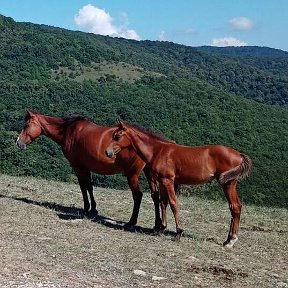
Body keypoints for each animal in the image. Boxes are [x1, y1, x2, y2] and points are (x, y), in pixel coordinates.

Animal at [16, 111, 162, 228]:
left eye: (26, 125)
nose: (18, 142)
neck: (68, 130)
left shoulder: (78, 166)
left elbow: (83, 187)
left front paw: (86, 208)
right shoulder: (86, 167)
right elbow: (90, 187)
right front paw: (93, 209)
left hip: (132, 175)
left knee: (138, 196)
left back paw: (132, 222)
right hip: (149, 173)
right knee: (155, 195)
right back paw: (158, 225)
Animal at [106, 120, 252, 249]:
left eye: (117, 136)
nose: (108, 152)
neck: (158, 151)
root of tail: (239, 154)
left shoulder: (168, 181)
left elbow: (173, 203)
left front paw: (178, 232)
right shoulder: (162, 181)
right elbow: (163, 202)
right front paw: (161, 228)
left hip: (228, 184)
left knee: (235, 207)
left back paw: (231, 241)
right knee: (236, 207)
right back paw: (228, 239)